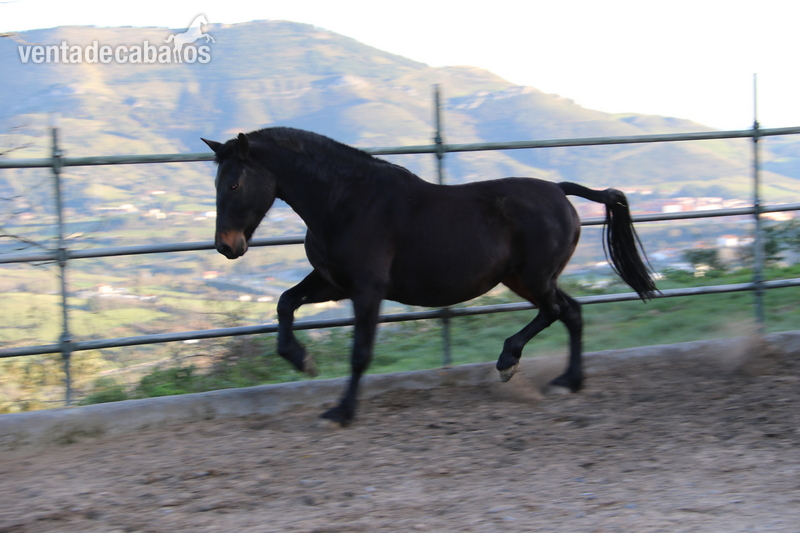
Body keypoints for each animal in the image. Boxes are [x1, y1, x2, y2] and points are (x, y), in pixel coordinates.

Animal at [201, 127, 657, 426]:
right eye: (218, 183)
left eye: (235, 184)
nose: (227, 246)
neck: (347, 203)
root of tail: (560, 190)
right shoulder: (333, 283)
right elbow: (284, 303)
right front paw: (302, 360)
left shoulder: (368, 290)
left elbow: (360, 353)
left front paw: (341, 412)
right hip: (524, 279)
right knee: (571, 312)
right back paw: (564, 380)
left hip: (534, 278)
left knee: (558, 312)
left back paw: (512, 363)